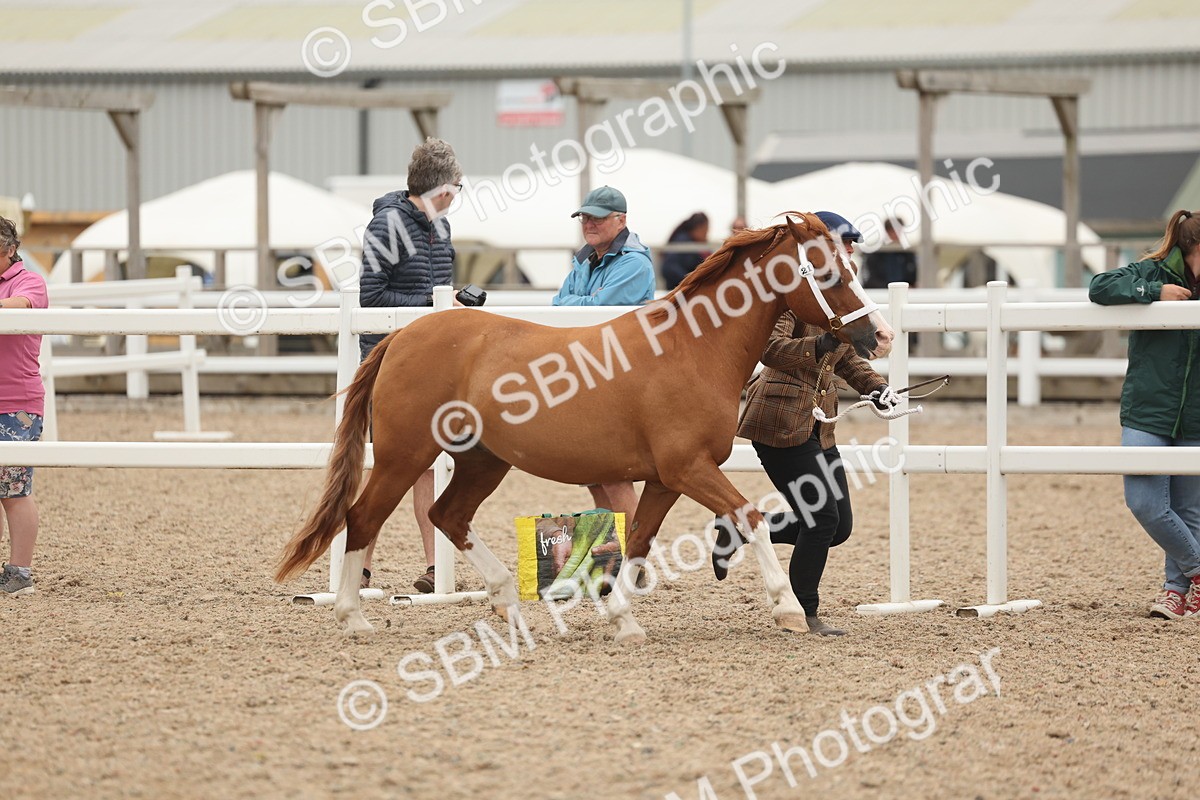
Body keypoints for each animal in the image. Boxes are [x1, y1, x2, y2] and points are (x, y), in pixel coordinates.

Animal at [275, 212, 894, 643]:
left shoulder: (666, 479)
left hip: (482, 460)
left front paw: (623, 620)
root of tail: (402, 336)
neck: (691, 349)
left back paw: (508, 602)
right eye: (830, 272)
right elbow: (752, 519)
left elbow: (639, 540)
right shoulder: (689, 468)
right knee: (364, 518)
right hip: (407, 454)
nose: (881, 337)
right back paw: (354, 618)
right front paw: (787, 609)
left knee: (447, 516)